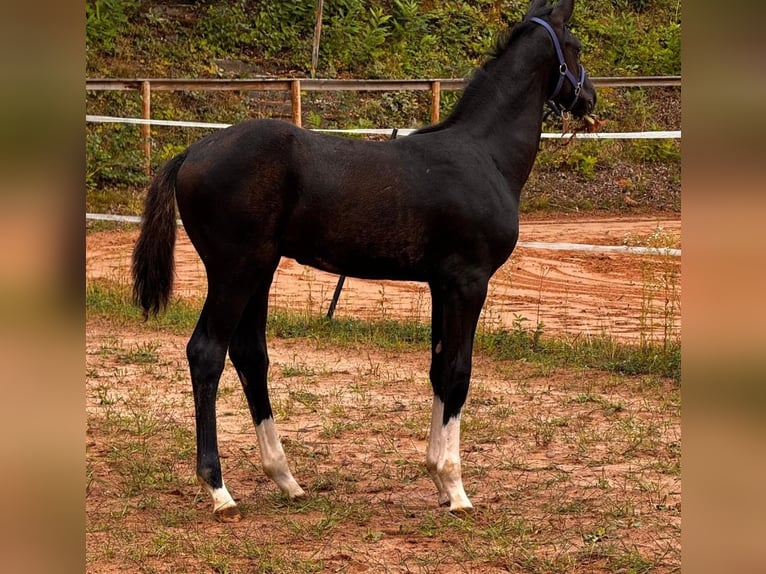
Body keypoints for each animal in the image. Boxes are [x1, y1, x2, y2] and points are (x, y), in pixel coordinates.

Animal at [132, 0, 596, 522]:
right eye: (575, 47)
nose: (589, 97)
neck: (484, 155)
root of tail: (193, 149)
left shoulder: (441, 284)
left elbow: (438, 368)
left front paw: (438, 478)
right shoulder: (469, 281)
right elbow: (459, 371)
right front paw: (456, 488)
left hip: (259, 271)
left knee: (250, 354)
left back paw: (287, 480)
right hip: (235, 272)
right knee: (206, 353)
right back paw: (219, 490)